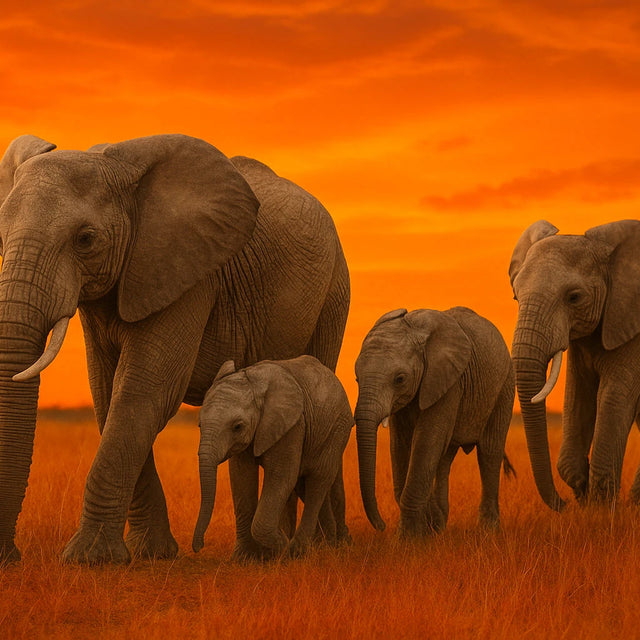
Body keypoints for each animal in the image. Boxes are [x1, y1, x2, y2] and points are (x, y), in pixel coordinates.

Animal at [192, 355, 354, 559]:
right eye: (199, 425)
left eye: (237, 426)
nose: (199, 547)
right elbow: (241, 478)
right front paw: (244, 558)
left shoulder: (293, 424)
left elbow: (281, 476)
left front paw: (281, 549)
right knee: (306, 484)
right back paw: (327, 544)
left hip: (337, 429)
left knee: (318, 480)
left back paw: (298, 550)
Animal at [354, 307, 515, 537]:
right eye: (357, 378)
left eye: (400, 379)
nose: (381, 526)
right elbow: (401, 445)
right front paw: (427, 529)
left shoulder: (449, 382)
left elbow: (426, 441)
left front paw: (409, 538)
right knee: (444, 457)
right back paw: (440, 524)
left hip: (504, 386)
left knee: (489, 452)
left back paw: (488, 531)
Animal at [510, 219, 640, 510]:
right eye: (516, 296)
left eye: (574, 297)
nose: (564, 505)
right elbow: (577, 397)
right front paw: (586, 502)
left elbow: (613, 395)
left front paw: (603, 511)